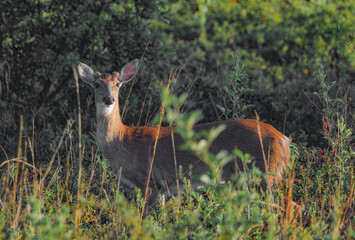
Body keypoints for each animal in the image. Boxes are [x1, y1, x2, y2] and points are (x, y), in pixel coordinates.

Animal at [77, 60, 290, 210]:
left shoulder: (150, 181)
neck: (123, 141)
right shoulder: (162, 189)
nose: (109, 99)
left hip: (264, 173)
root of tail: (284, 140)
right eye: (96, 84)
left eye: (118, 84)